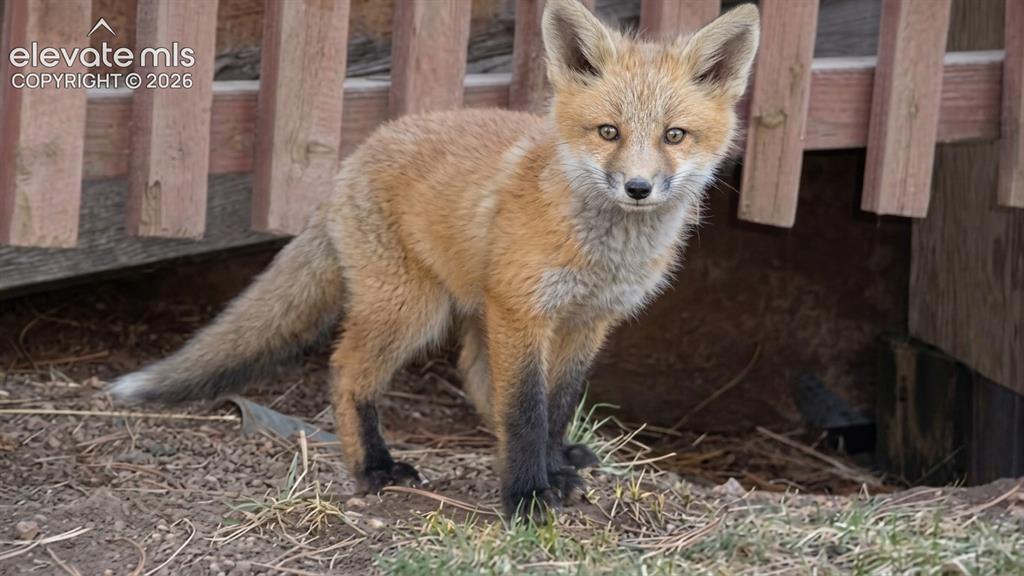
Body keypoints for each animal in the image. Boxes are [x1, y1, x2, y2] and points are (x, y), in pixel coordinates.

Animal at [110, 0, 760, 519]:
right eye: (608, 132)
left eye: (674, 136)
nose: (639, 188)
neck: (604, 253)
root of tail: (356, 154)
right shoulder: (523, 311)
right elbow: (526, 410)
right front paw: (527, 495)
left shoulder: (587, 320)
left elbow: (556, 405)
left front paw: (555, 469)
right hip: (412, 311)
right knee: (348, 369)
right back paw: (373, 467)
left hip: (466, 310)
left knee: (472, 372)